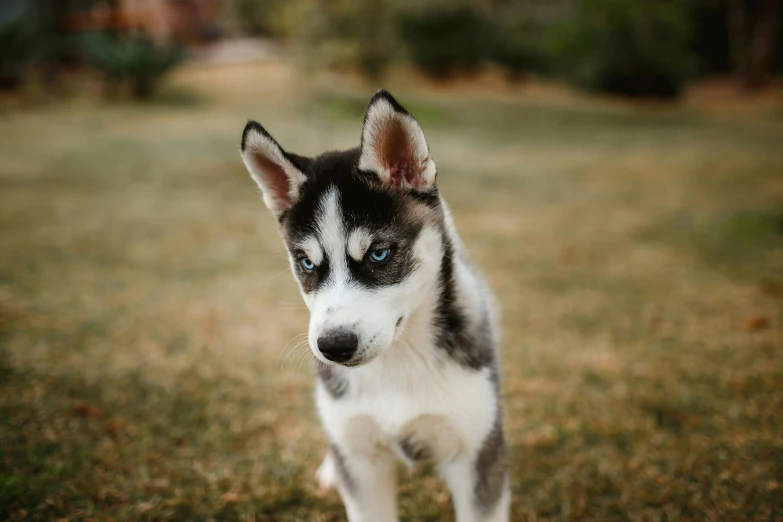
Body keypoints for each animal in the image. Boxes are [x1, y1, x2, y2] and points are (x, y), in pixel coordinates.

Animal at [239, 90, 508, 520]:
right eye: (307, 263)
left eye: (379, 254)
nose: (334, 346)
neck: (399, 364)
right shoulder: (362, 461)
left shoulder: (478, 455)